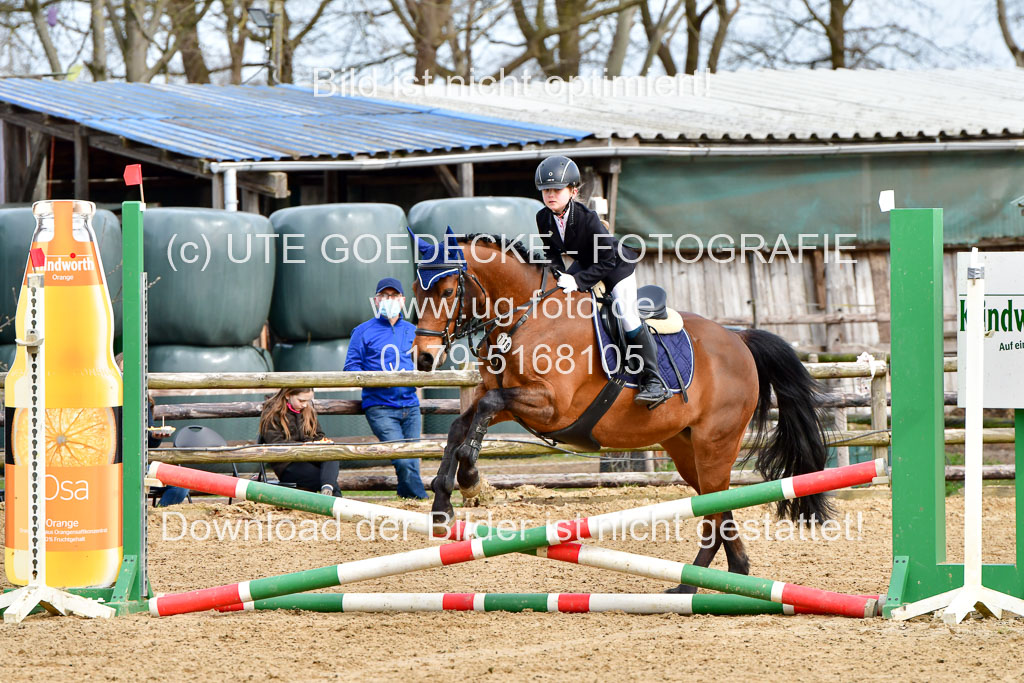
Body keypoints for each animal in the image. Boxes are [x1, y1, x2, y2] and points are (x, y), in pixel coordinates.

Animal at [407, 232, 831, 589]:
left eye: (448, 290)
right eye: (415, 290)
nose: (424, 358)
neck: (527, 316)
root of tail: (739, 339)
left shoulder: (549, 405)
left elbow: (482, 411)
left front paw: (471, 478)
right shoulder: (511, 400)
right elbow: (461, 424)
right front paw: (443, 505)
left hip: (716, 443)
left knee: (714, 509)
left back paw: (692, 586)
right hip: (686, 448)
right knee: (718, 505)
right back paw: (727, 576)